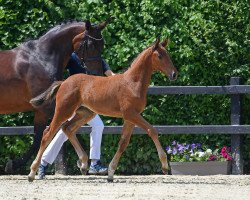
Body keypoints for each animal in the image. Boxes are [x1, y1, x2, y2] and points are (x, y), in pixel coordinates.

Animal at [0, 18, 110, 173]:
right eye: (90, 45)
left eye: (102, 45)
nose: (97, 74)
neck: (42, 58)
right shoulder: (49, 107)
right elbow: (58, 130)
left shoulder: (41, 111)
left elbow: (38, 138)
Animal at [27, 36, 178, 182]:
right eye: (160, 56)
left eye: (168, 55)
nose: (174, 74)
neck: (132, 83)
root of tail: (64, 82)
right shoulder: (131, 114)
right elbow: (152, 130)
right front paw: (165, 166)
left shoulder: (130, 118)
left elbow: (123, 143)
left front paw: (110, 173)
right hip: (63, 111)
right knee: (47, 134)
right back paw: (32, 172)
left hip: (85, 113)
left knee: (67, 128)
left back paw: (83, 164)